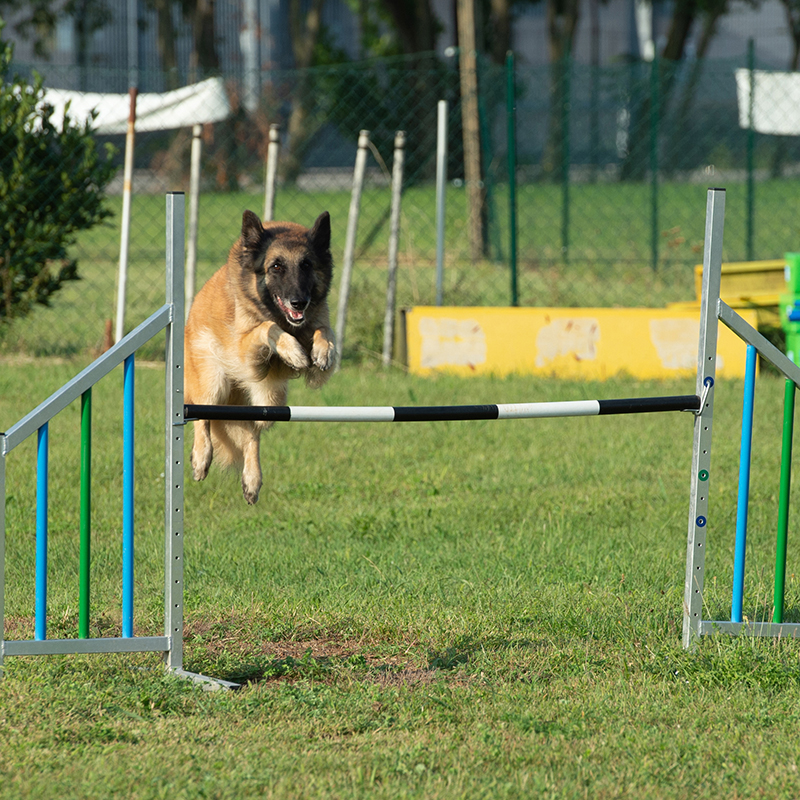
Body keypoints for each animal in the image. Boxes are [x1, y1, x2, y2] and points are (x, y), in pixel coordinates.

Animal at [184, 209, 334, 504]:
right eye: (276, 266)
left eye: (307, 265)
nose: (299, 302)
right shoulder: (245, 350)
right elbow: (267, 327)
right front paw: (294, 351)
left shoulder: (316, 323)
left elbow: (323, 330)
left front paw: (322, 352)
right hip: (213, 383)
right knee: (202, 415)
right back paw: (201, 457)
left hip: (270, 403)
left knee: (252, 432)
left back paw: (252, 480)